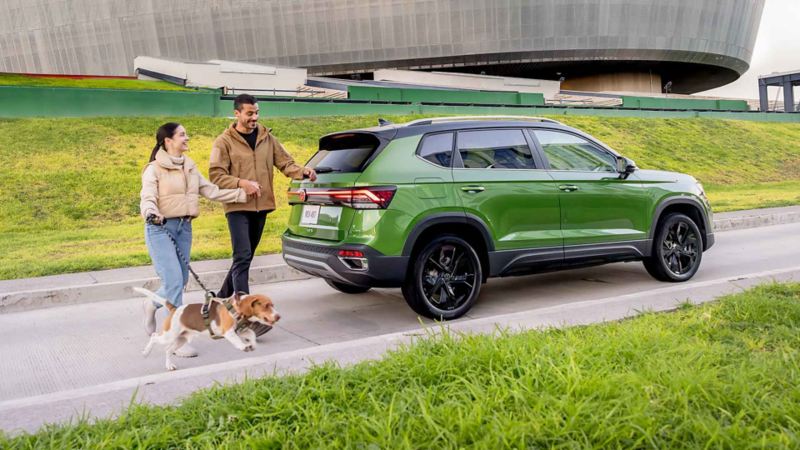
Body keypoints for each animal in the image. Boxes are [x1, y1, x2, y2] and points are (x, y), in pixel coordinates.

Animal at [133, 290, 280, 370]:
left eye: (272, 305)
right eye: (266, 306)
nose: (278, 316)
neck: (235, 308)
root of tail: (175, 308)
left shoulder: (241, 330)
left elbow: (252, 334)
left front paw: (252, 345)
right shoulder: (229, 332)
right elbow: (238, 341)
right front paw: (244, 346)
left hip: (181, 338)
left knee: (168, 350)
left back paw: (169, 365)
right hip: (169, 335)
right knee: (154, 336)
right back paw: (146, 352)